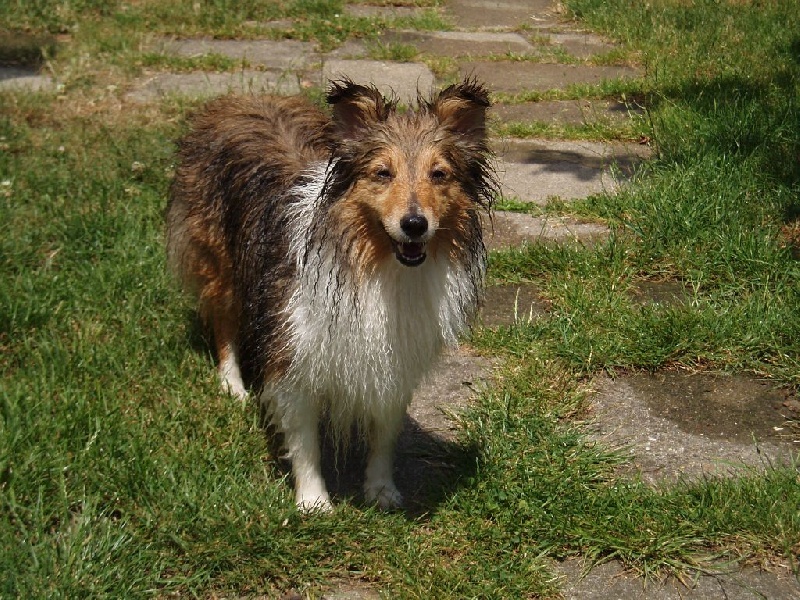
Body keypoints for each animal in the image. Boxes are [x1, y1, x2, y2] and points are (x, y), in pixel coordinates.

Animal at [166, 79, 496, 510]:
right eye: (382, 172)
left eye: (439, 174)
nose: (414, 224)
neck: (375, 267)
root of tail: (239, 97)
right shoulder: (293, 353)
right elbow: (305, 441)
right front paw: (314, 501)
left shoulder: (393, 361)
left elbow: (384, 435)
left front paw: (381, 490)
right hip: (220, 265)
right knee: (223, 324)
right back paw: (231, 384)